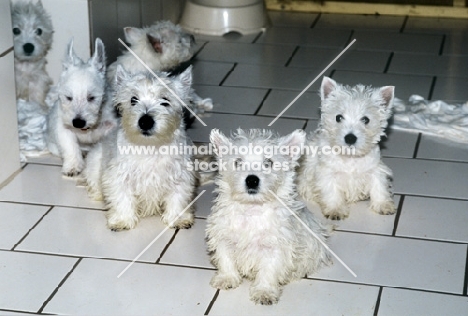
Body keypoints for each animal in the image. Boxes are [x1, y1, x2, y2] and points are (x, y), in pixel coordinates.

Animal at [47, 38, 117, 177]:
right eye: (68, 97)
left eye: (92, 97)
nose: (78, 122)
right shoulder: (63, 129)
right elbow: (70, 146)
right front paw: (72, 167)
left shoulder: (111, 125)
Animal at [85, 65, 197, 231]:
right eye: (133, 99)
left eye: (165, 100)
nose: (145, 121)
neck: (149, 147)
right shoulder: (119, 176)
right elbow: (122, 198)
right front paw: (122, 220)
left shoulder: (180, 176)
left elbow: (178, 198)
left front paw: (178, 219)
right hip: (94, 161)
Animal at [207, 128, 330, 304]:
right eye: (238, 162)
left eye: (268, 162)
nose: (252, 180)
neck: (251, 210)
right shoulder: (223, 237)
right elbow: (226, 259)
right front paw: (227, 278)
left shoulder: (274, 247)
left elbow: (268, 270)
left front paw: (264, 292)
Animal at [296, 76, 394, 220]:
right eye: (338, 117)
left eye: (366, 119)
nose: (350, 138)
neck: (350, 157)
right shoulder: (327, 173)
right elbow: (332, 191)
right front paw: (335, 210)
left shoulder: (375, 169)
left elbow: (379, 186)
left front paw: (383, 205)